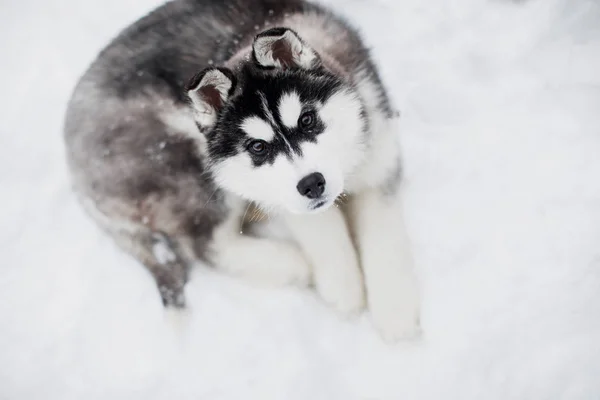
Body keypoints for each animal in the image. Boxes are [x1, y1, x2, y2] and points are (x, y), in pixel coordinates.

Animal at [63, 0, 420, 340]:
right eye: (258, 147)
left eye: (307, 120)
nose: (312, 185)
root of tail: (74, 168)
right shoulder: (278, 192)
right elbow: (322, 230)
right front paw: (342, 286)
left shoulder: (379, 159)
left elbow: (384, 237)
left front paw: (395, 313)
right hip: (190, 167)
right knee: (204, 245)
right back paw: (292, 262)